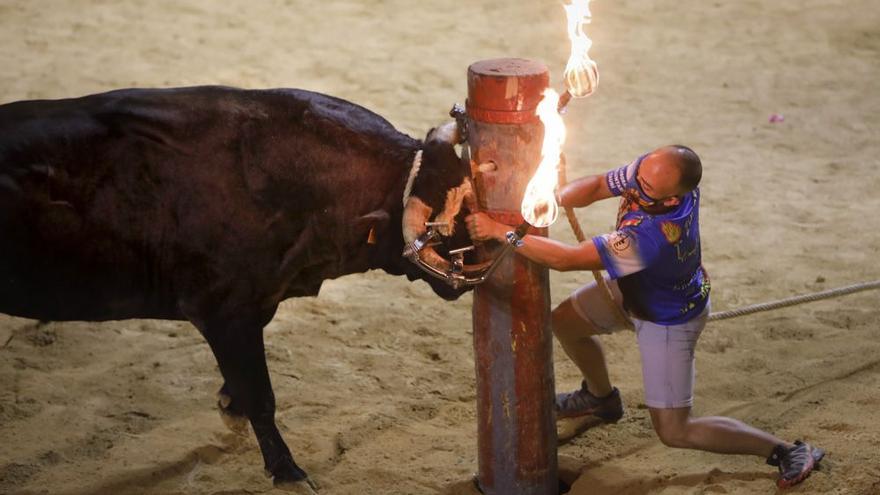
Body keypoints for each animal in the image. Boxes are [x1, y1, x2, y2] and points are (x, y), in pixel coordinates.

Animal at [0, 86, 474, 488]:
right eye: (446, 221)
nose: (476, 268)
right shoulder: (224, 311)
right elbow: (260, 395)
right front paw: (287, 471)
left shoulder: (252, 307)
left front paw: (231, 406)